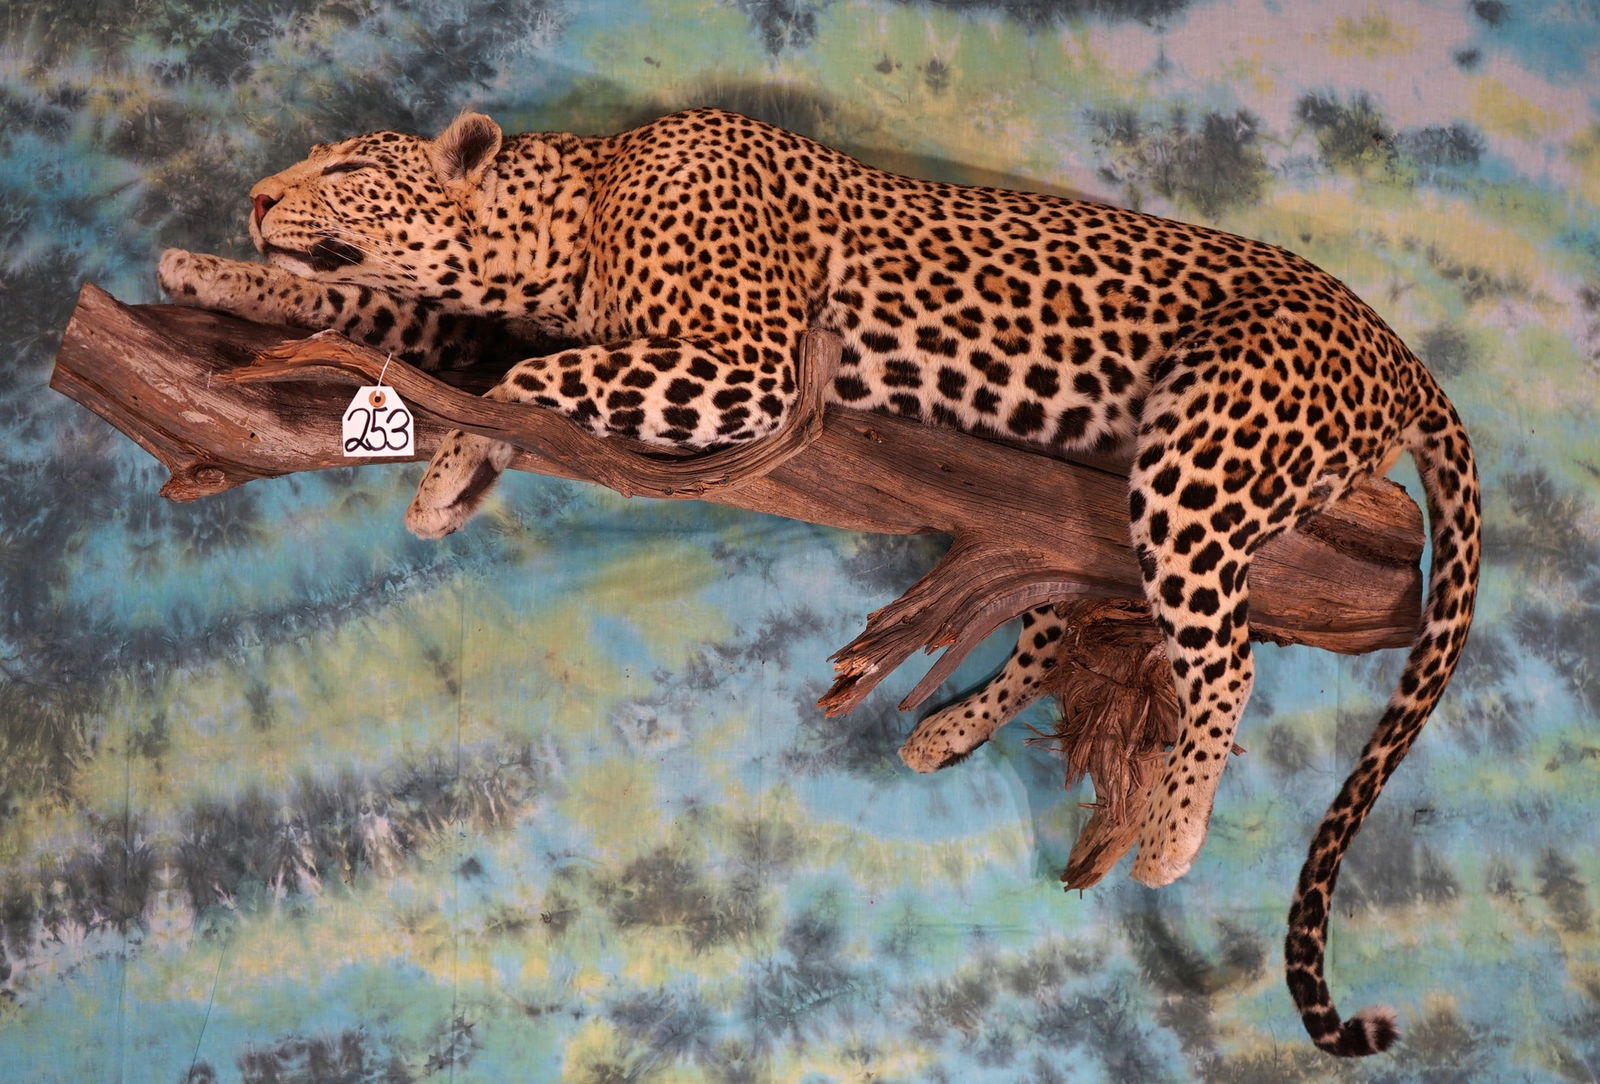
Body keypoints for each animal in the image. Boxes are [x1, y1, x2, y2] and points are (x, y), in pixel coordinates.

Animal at [157, 107, 1481, 1057]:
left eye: (343, 165)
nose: (260, 195)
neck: (571, 218)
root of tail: (1400, 348)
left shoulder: (742, 367)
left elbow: (530, 382)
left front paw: (456, 468)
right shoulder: (498, 317)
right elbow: (377, 311)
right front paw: (214, 271)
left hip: (1198, 458)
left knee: (1227, 652)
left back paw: (1170, 830)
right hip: (1100, 491)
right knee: (1072, 610)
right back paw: (950, 729)